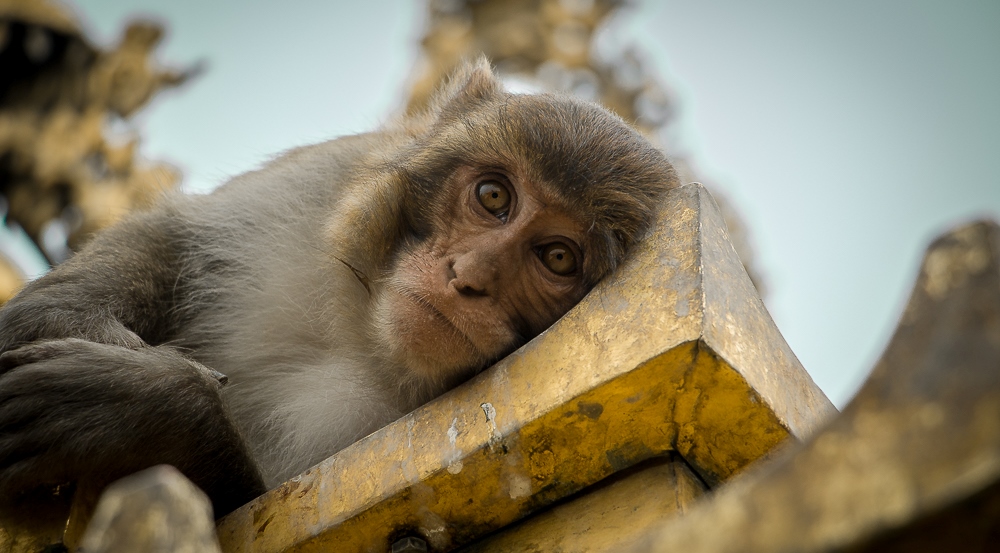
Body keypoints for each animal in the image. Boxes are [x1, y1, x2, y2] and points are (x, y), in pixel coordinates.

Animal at [0, 58, 680, 524]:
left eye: (558, 257)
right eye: (493, 196)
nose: (469, 277)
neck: (367, 345)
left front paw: (152, 412)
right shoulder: (325, 176)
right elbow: (178, 235)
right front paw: (65, 316)